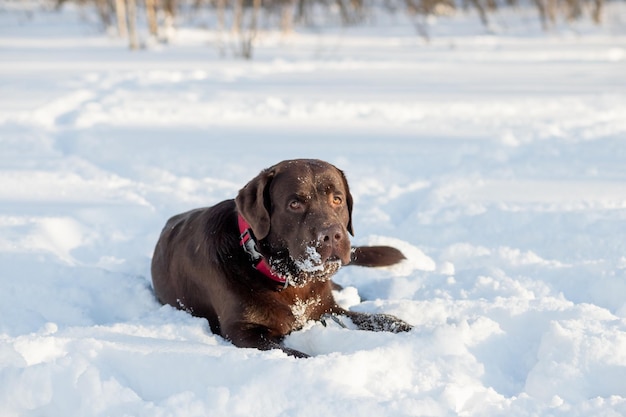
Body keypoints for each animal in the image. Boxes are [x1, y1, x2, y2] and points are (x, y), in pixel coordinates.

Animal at [151, 158, 412, 356]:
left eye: (337, 199)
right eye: (295, 204)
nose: (332, 236)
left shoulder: (328, 308)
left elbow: (377, 318)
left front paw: (407, 327)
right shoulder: (243, 332)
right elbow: (295, 353)